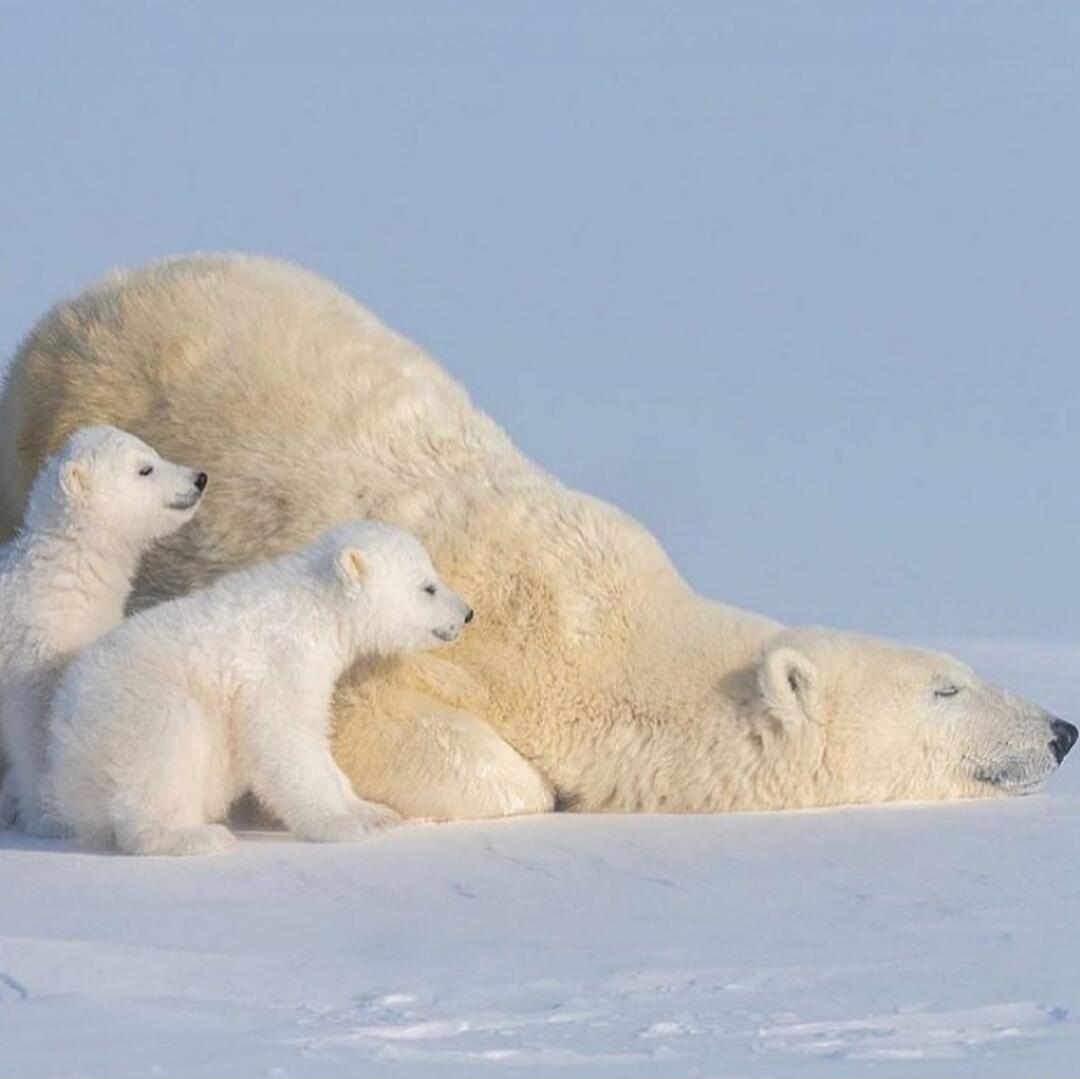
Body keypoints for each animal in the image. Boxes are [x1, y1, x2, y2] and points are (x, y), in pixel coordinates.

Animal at [0, 424, 206, 836]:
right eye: (145, 469)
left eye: (154, 453)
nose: (199, 478)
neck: (63, 574)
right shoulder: (33, 643)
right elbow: (35, 725)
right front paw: (48, 819)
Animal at [45, 519, 474, 856]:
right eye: (428, 587)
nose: (467, 612)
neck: (315, 606)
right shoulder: (279, 663)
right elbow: (284, 738)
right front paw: (341, 825)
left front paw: (375, 812)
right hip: (137, 706)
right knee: (166, 748)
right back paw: (195, 836)